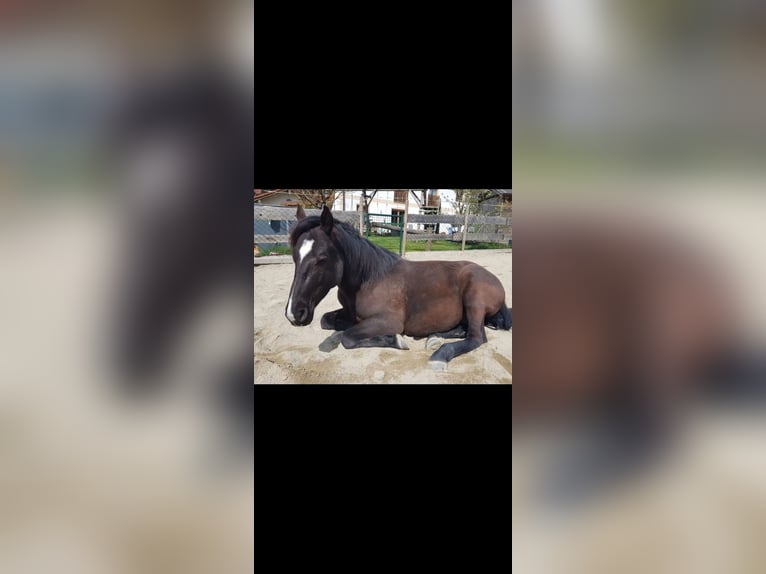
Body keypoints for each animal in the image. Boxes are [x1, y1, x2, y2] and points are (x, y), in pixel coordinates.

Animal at [285, 205, 512, 369]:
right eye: (295, 257)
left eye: (321, 259)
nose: (294, 313)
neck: (369, 279)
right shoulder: (349, 313)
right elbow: (326, 321)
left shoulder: (388, 320)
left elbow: (348, 337)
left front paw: (397, 340)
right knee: (463, 330)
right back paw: (434, 337)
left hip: (474, 299)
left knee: (476, 337)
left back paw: (439, 355)